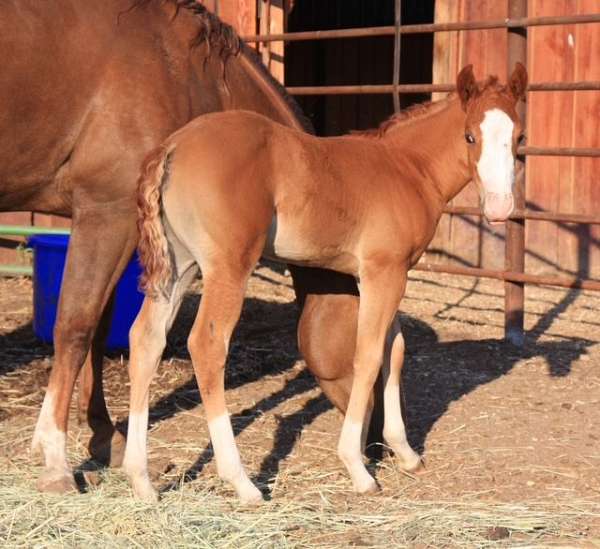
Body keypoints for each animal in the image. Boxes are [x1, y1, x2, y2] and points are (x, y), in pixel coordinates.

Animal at [3, 1, 370, 492]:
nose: (375, 443)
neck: (177, 68)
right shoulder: (106, 212)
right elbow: (75, 328)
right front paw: (56, 461)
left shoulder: (121, 228)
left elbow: (100, 331)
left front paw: (103, 439)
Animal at [124, 64, 528, 500]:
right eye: (470, 136)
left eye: (519, 137)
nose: (501, 208)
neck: (407, 167)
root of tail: (173, 147)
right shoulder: (382, 273)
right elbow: (368, 355)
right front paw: (358, 468)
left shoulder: (389, 274)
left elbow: (395, 351)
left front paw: (405, 453)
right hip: (228, 267)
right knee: (207, 345)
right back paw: (242, 482)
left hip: (180, 266)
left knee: (146, 339)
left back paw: (141, 480)